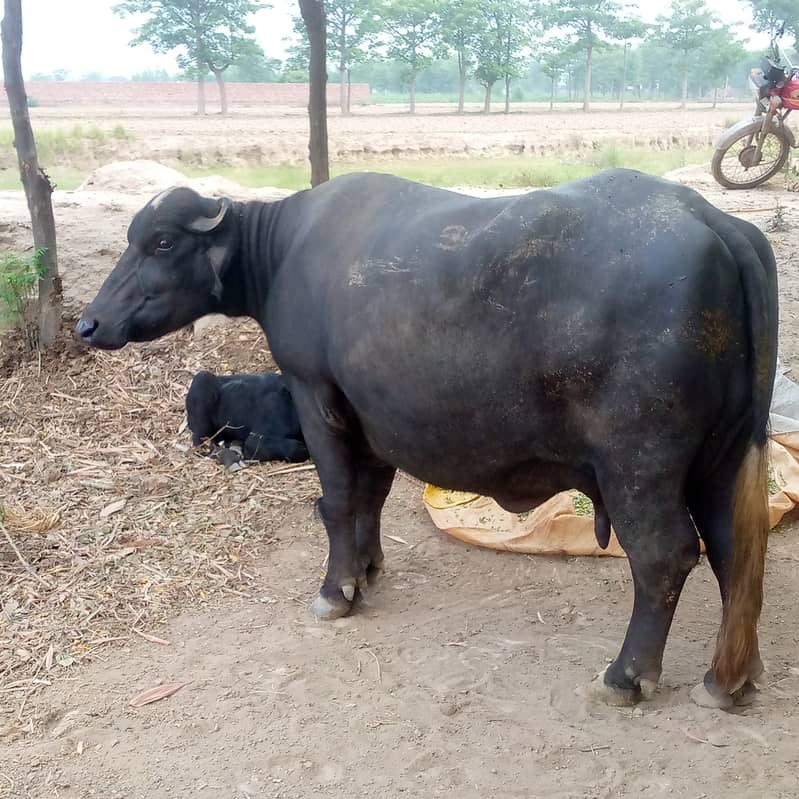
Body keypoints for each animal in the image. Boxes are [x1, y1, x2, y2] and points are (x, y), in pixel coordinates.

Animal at [76, 170, 778, 709]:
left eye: (161, 242)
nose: (90, 323)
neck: (284, 252)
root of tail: (715, 221)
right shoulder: (371, 417)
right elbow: (370, 497)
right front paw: (366, 571)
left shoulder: (315, 395)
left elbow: (337, 501)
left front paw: (335, 591)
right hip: (721, 457)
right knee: (733, 548)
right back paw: (727, 679)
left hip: (638, 464)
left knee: (665, 556)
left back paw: (626, 677)